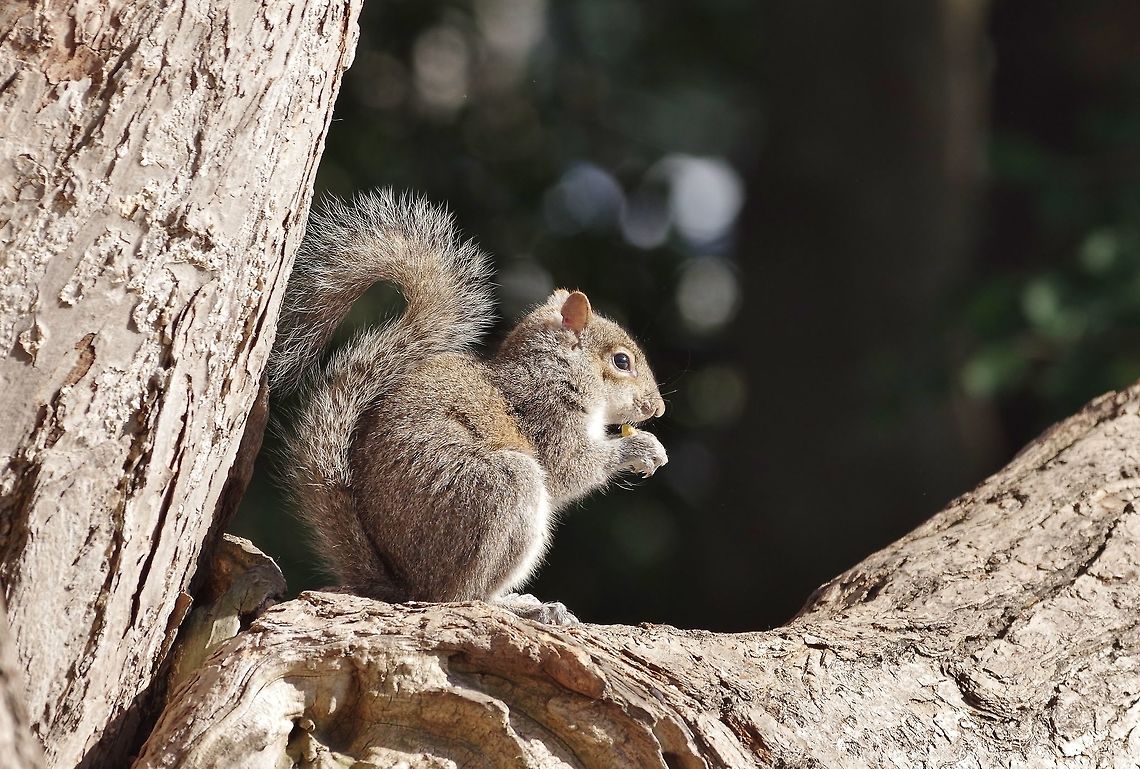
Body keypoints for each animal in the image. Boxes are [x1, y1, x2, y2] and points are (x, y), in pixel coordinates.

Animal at [268, 189, 668, 624]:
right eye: (621, 361)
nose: (657, 410)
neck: (556, 366)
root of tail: (405, 585)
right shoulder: (546, 414)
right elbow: (571, 468)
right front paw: (641, 448)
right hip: (501, 491)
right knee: (459, 596)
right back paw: (521, 606)